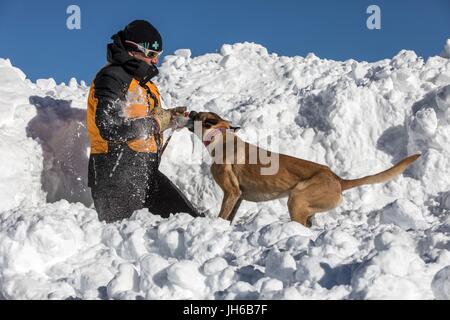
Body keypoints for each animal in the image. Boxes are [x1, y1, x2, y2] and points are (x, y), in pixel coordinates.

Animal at [186, 111, 418, 226]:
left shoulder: (231, 192)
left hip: (296, 199)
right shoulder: (239, 196)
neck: (221, 138)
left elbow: (222, 215)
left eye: (199, 116)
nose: (191, 111)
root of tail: (337, 179)